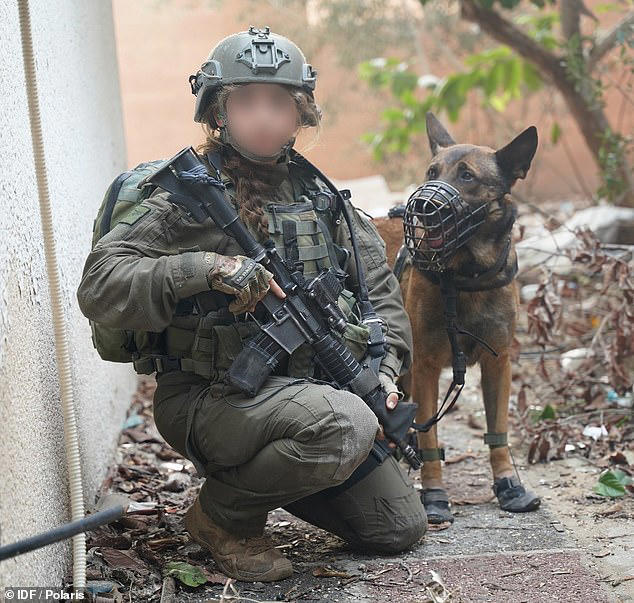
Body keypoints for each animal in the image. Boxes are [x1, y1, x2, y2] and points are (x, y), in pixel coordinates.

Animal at [390, 112, 540, 524]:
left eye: (467, 176)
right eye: (431, 171)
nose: (422, 206)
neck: (466, 275)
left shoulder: (498, 363)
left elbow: (498, 434)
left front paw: (508, 485)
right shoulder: (426, 367)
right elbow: (430, 437)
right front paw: (435, 495)